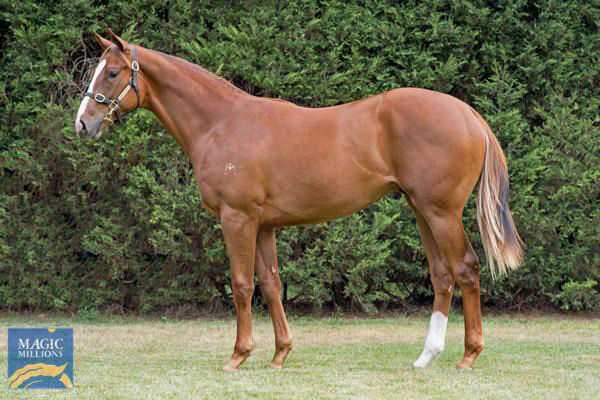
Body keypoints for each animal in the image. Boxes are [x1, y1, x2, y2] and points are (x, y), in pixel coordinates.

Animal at [76, 31, 524, 372]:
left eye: (112, 72)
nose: (83, 124)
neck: (223, 122)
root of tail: (468, 114)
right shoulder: (264, 226)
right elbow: (272, 285)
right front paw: (279, 355)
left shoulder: (237, 219)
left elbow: (241, 285)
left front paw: (237, 357)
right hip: (421, 210)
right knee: (442, 275)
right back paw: (426, 357)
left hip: (440, 212)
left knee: (465, 268)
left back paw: (468, 356)